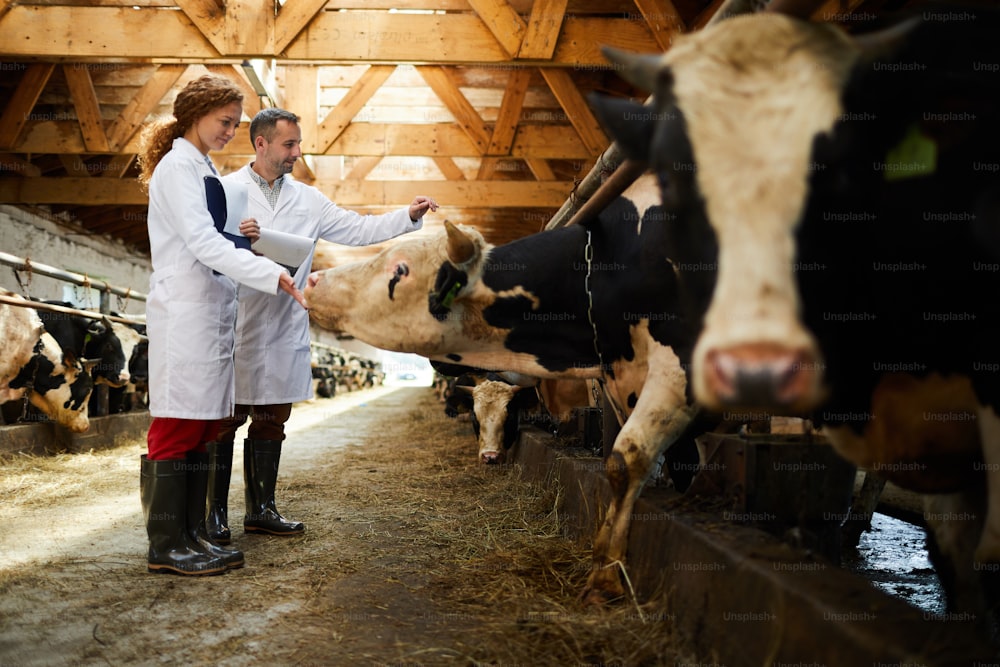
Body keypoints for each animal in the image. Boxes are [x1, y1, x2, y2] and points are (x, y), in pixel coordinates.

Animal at [308, 174, 716, 604]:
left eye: (400, 268)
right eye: (475, 417)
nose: (314, 279)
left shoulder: (678, 371)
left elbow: (628, 461)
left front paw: (605, 579)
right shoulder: (625, 390)